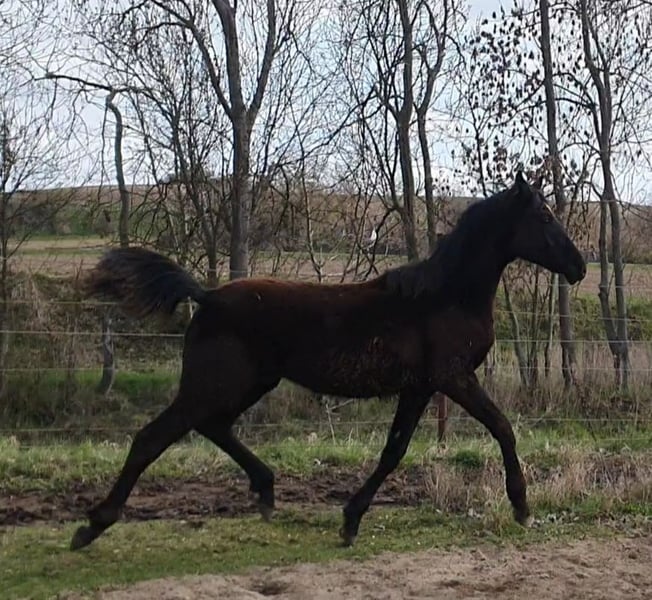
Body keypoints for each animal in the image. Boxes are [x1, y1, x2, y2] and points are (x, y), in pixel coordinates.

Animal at [70, 172, 586, 551]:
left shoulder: (419, 386)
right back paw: (93, 524)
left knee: (213, 426)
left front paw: (351, 519)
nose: (579, 266)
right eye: (543, 216)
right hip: (215, 384)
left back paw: (266, 489)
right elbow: (502, 427)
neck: (446, 296)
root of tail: (207, 296)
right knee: (153, 437)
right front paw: (521, 506)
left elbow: (394, 450)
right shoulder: (452, 377)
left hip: (251, 382)